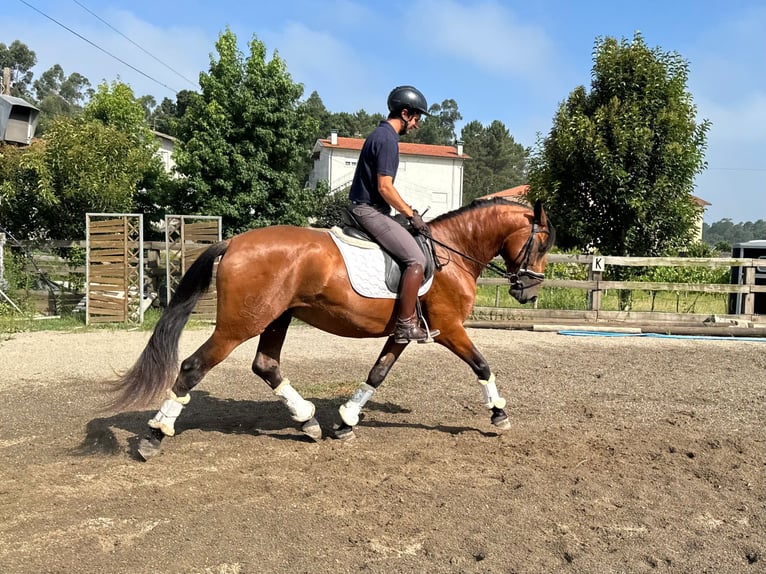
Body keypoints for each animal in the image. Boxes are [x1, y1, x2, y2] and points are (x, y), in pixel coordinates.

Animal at [109, 198, 552, 460]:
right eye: (544, 243)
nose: (529, 291)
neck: (453, 253)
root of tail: (234, 242)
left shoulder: (403, 333)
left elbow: (377, 373)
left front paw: (345, 421)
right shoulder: (449, 328)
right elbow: (482, 365)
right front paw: (499, 414)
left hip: (277, 317)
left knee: (266, 365)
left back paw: (307, 421)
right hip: (240, 325)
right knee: (193, 367)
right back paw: (155, 434)